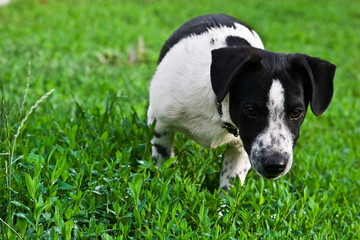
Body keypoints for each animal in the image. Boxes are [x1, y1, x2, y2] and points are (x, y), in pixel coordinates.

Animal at [147, 13, 334, 191]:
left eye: (296, 112)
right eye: (250, 110)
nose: (275, 165)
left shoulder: (241, 147)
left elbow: (229, 187)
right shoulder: (162, 126)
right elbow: (164, 168)